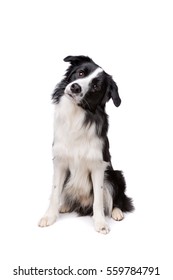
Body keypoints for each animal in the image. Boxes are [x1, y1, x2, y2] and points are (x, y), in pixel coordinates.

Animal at [39, 55, 134, 234]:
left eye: (95, 86)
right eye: (81, 72)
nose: (75, 87)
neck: (76, 114)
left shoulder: (98, 166)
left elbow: (99, 199)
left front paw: (101, 223)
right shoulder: (60, 162)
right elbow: (55, 192)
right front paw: (49, 216)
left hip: (115, 175)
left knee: (117, 199)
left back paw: (116, 212)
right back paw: (65, 206)